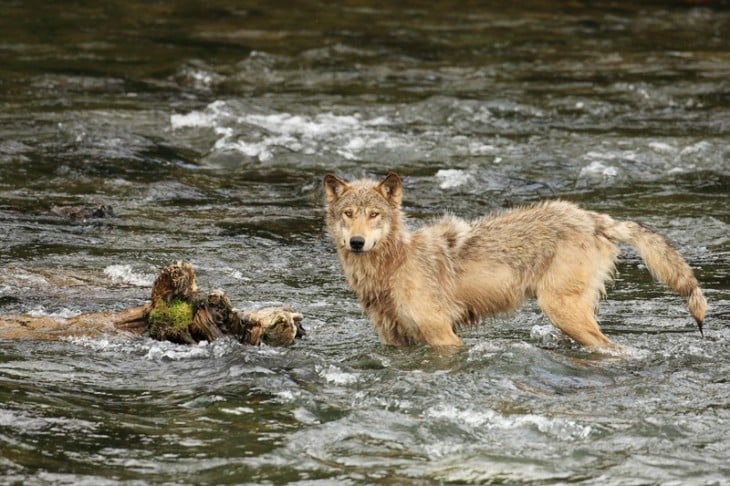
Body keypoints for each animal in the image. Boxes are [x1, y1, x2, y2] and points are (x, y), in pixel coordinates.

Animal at [322, 173, 704, 348]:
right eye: (348, 214)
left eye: (373, 215)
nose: (357, 242)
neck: (393, 265)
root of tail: (592, 218)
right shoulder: (395, 342)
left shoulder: (444, 337)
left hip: (560, 310)